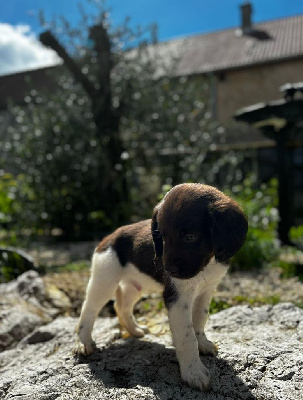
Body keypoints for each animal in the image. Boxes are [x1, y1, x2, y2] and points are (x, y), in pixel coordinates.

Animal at [76, 184, 249, 390]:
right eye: (163, 237)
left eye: (190, 237)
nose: (168, 270)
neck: (207, 264)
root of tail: (108, 238)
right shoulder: (177, 298)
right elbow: (187, 336)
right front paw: (193, 372)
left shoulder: (206, 290)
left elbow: (199, 320)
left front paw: (203, 343)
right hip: (104, 280)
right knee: (88, 310)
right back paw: (84, 342)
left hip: (135, 286)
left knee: (122, 306)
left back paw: (134, 330)